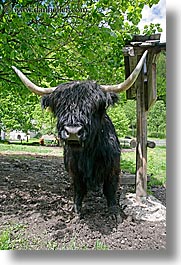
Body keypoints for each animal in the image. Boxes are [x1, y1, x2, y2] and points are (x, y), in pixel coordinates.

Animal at [11, 49, 148, 219]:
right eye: (60, 106)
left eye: (95, 106)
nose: (72, 132)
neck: (89, 153)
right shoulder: (74, 169)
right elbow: (79, 189)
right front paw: (76, 209)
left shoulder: (113, 167)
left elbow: (110, 189)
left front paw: (114, 212)